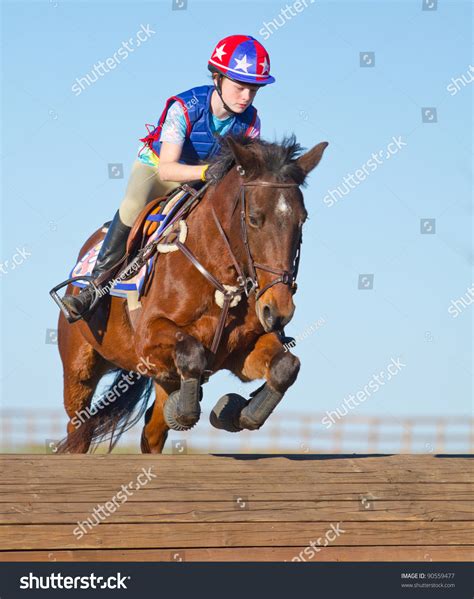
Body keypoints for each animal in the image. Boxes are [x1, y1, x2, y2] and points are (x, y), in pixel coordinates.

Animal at [55, 136, 328, 454]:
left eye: (302, 220)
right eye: (254, 219)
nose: (279, 310)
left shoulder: (240, 350)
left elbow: (287, 366)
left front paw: (235, 413)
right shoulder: (148, 338)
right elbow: (192, 351)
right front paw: (189, 410)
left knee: (152, 432)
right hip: (79, 368)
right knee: (79, 429)